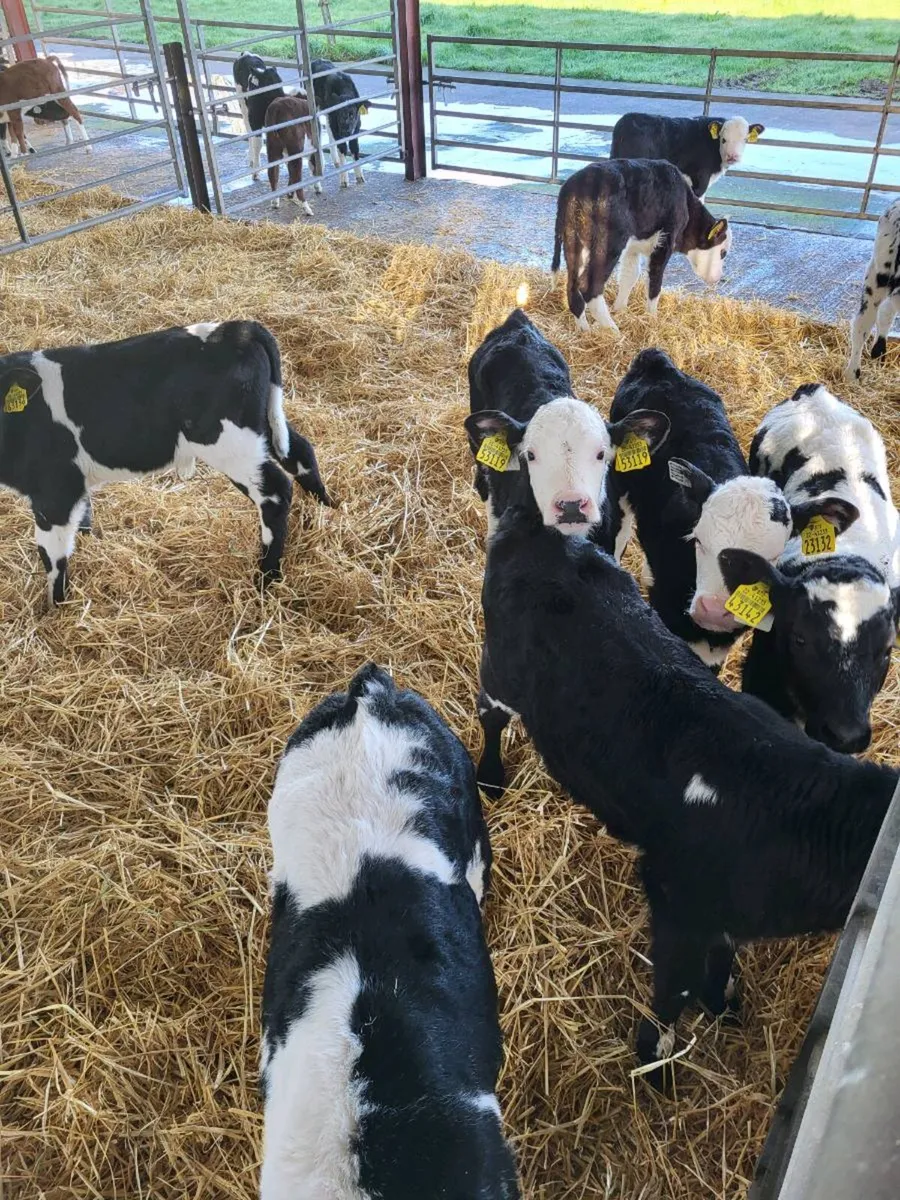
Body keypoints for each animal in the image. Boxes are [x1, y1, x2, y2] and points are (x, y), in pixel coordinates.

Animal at [0, 321, 330, 606]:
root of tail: (238, 328)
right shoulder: (73, 486)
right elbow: (84, 520)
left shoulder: (54, 491)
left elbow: (52, 554)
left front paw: (56, 609)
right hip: (265, 427)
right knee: (300, 452)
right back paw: (328, 508)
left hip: (232, 444)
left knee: (275, 491)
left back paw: (266, 579)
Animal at [551, 159, 731, 332]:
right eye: (723, 252)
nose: (717, 278)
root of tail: (573, 187)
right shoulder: (665, 241)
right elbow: (655, 282)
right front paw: (652, 318)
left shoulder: (633, 247)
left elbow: (630, 275)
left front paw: (620, 309)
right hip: (608, 244)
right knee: (589, 286)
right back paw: (613, 331)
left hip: (573, 242)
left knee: (572, 286)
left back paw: (585, 330)